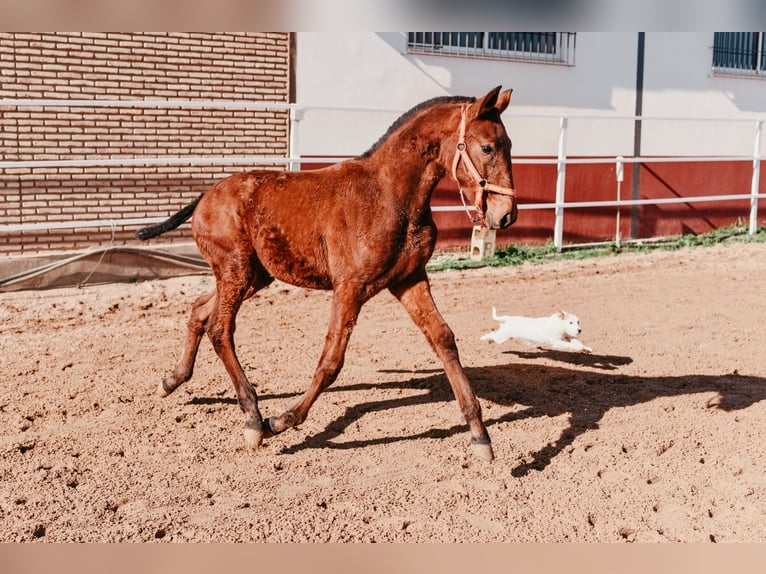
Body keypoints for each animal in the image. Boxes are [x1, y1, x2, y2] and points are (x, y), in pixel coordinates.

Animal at [138, 86, 520, 464]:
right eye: (487, 147)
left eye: (510, 145)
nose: (507, 215)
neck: (390, 195)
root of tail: (205, 195)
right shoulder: (350, 287)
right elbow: (331, 361)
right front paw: (279, 422)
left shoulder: (409, 280)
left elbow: (443, 339)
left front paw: (480, 436)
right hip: (236, 270)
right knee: (220, 328)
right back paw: (252, 418)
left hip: (253, 275)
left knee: (200, 311)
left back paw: (172, 381)